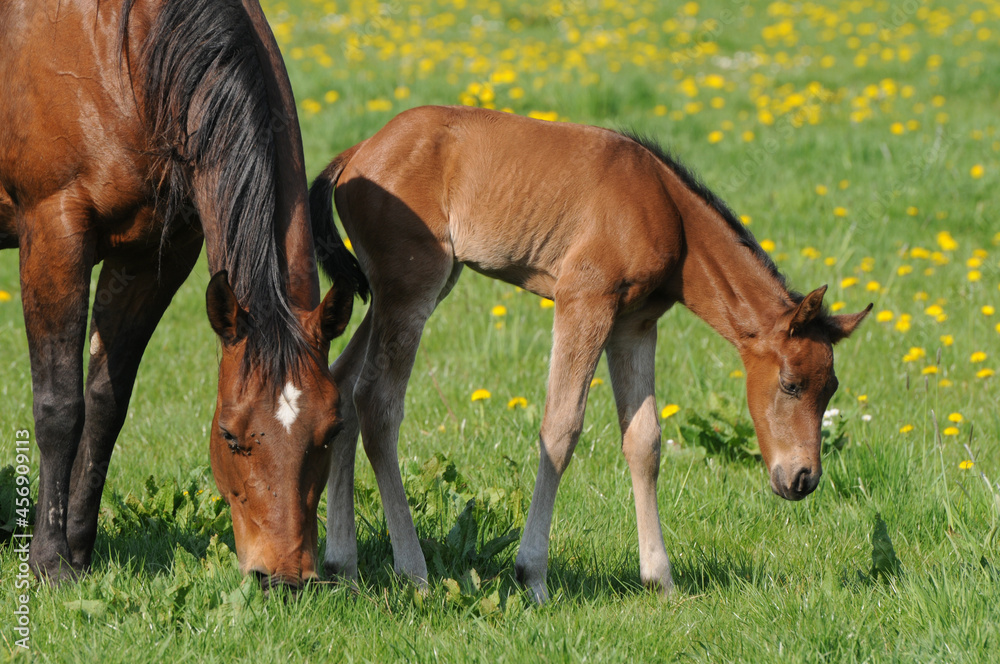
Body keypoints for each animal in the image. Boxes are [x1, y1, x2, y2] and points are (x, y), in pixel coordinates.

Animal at [0, 0, 364, 589]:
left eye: (330, 432)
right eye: (230, 434)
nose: (284, 576)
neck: (124, 48)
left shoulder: (155, 254)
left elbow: (105, 405)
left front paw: (79, 552)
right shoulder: (54, 231)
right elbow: (60, 406)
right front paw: (51, 564)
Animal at [309, 105, 872, 602]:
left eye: (831, 390)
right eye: (791, 384)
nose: (803, 479)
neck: (666, 209)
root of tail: (360, 151)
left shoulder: (635, 324)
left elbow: (645, 440)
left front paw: (660, 580)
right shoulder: (584, 299)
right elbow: (561, 428)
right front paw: (532, 575)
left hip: (406, 289)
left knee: (344, 384)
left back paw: (344, 568)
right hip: (413, 285)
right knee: (377, 403)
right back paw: (414, 573)